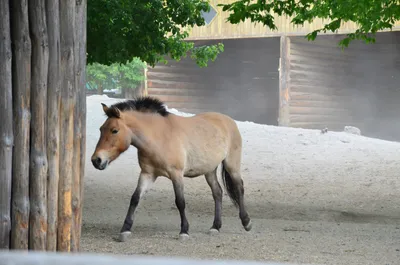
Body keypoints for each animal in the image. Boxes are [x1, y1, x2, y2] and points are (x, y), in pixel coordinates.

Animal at [92, 96, 252, 240]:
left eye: (114, 130)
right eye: (101, 129)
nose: (96, 160)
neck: (159, 137)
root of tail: (228, 120)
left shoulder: (176, 174)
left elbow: (180, 202)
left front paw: (184, 231)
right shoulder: (147, 174)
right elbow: (135, 198)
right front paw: (125, 230)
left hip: (232, 165)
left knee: (239, 188)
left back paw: (246, 222)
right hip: (209, 170)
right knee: (217, 192)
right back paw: (215, 227)